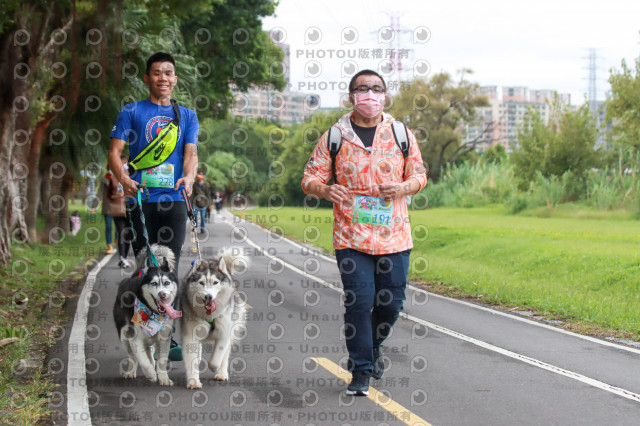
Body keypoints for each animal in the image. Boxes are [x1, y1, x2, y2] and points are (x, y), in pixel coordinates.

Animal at [112, 243, 181, 386]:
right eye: (153, 283)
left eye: (166, 283)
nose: (162, 294)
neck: (154, 313)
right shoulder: (135, 339)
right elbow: (142, 360)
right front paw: (151, 374)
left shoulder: (164, 336)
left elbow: (162, 360)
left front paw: (163, 378)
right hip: (124, 334)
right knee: (132, 356)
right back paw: (131, 371)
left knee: (149, 350)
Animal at [182, 246, 250, 390]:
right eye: (201, 283)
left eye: (215, 282)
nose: (208, 296)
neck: (209, 315)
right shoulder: (190, 334)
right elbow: (191, 357)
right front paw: (194, 381)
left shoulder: (225, 332)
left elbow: (216, 359)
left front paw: (214, 367)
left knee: (225, 355)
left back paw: (222, 373)